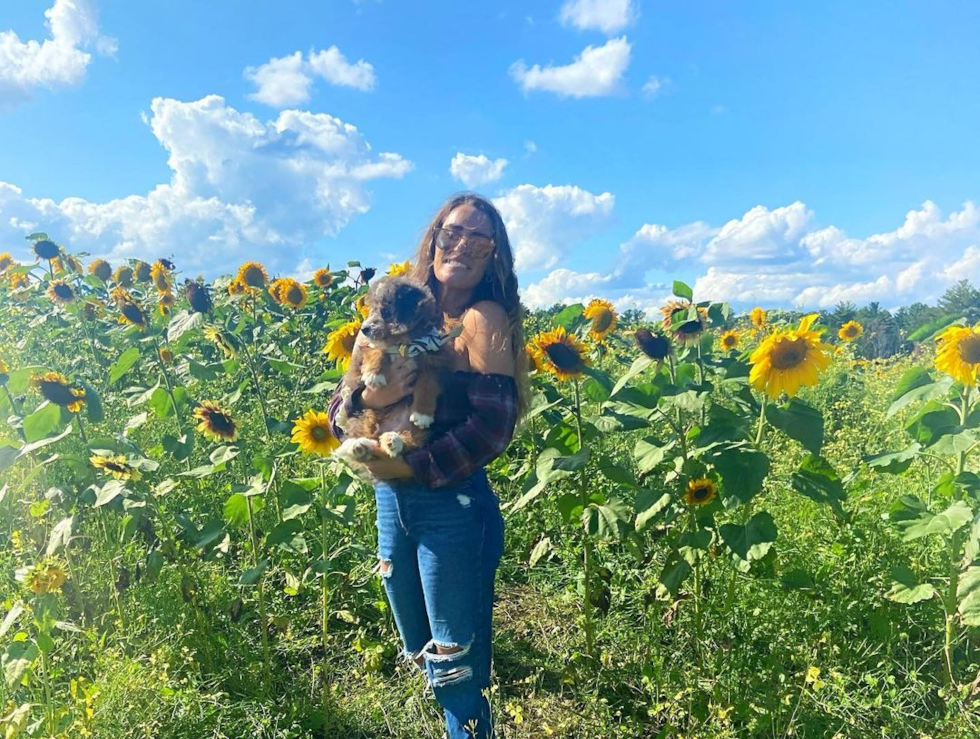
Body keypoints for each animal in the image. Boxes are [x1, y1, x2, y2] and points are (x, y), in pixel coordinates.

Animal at [334, 274, 460, 466]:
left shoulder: (434, 363)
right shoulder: (369, 347)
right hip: (364, 415)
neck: (404, 344)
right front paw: (374, 375)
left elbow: (427, 387)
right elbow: (378, 350)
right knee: (363, 436)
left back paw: (392, 441)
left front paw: (422, 414)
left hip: (414, 430)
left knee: (408, 442)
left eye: (386, 312)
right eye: (371, 310)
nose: (364, 329)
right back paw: (358, 446)